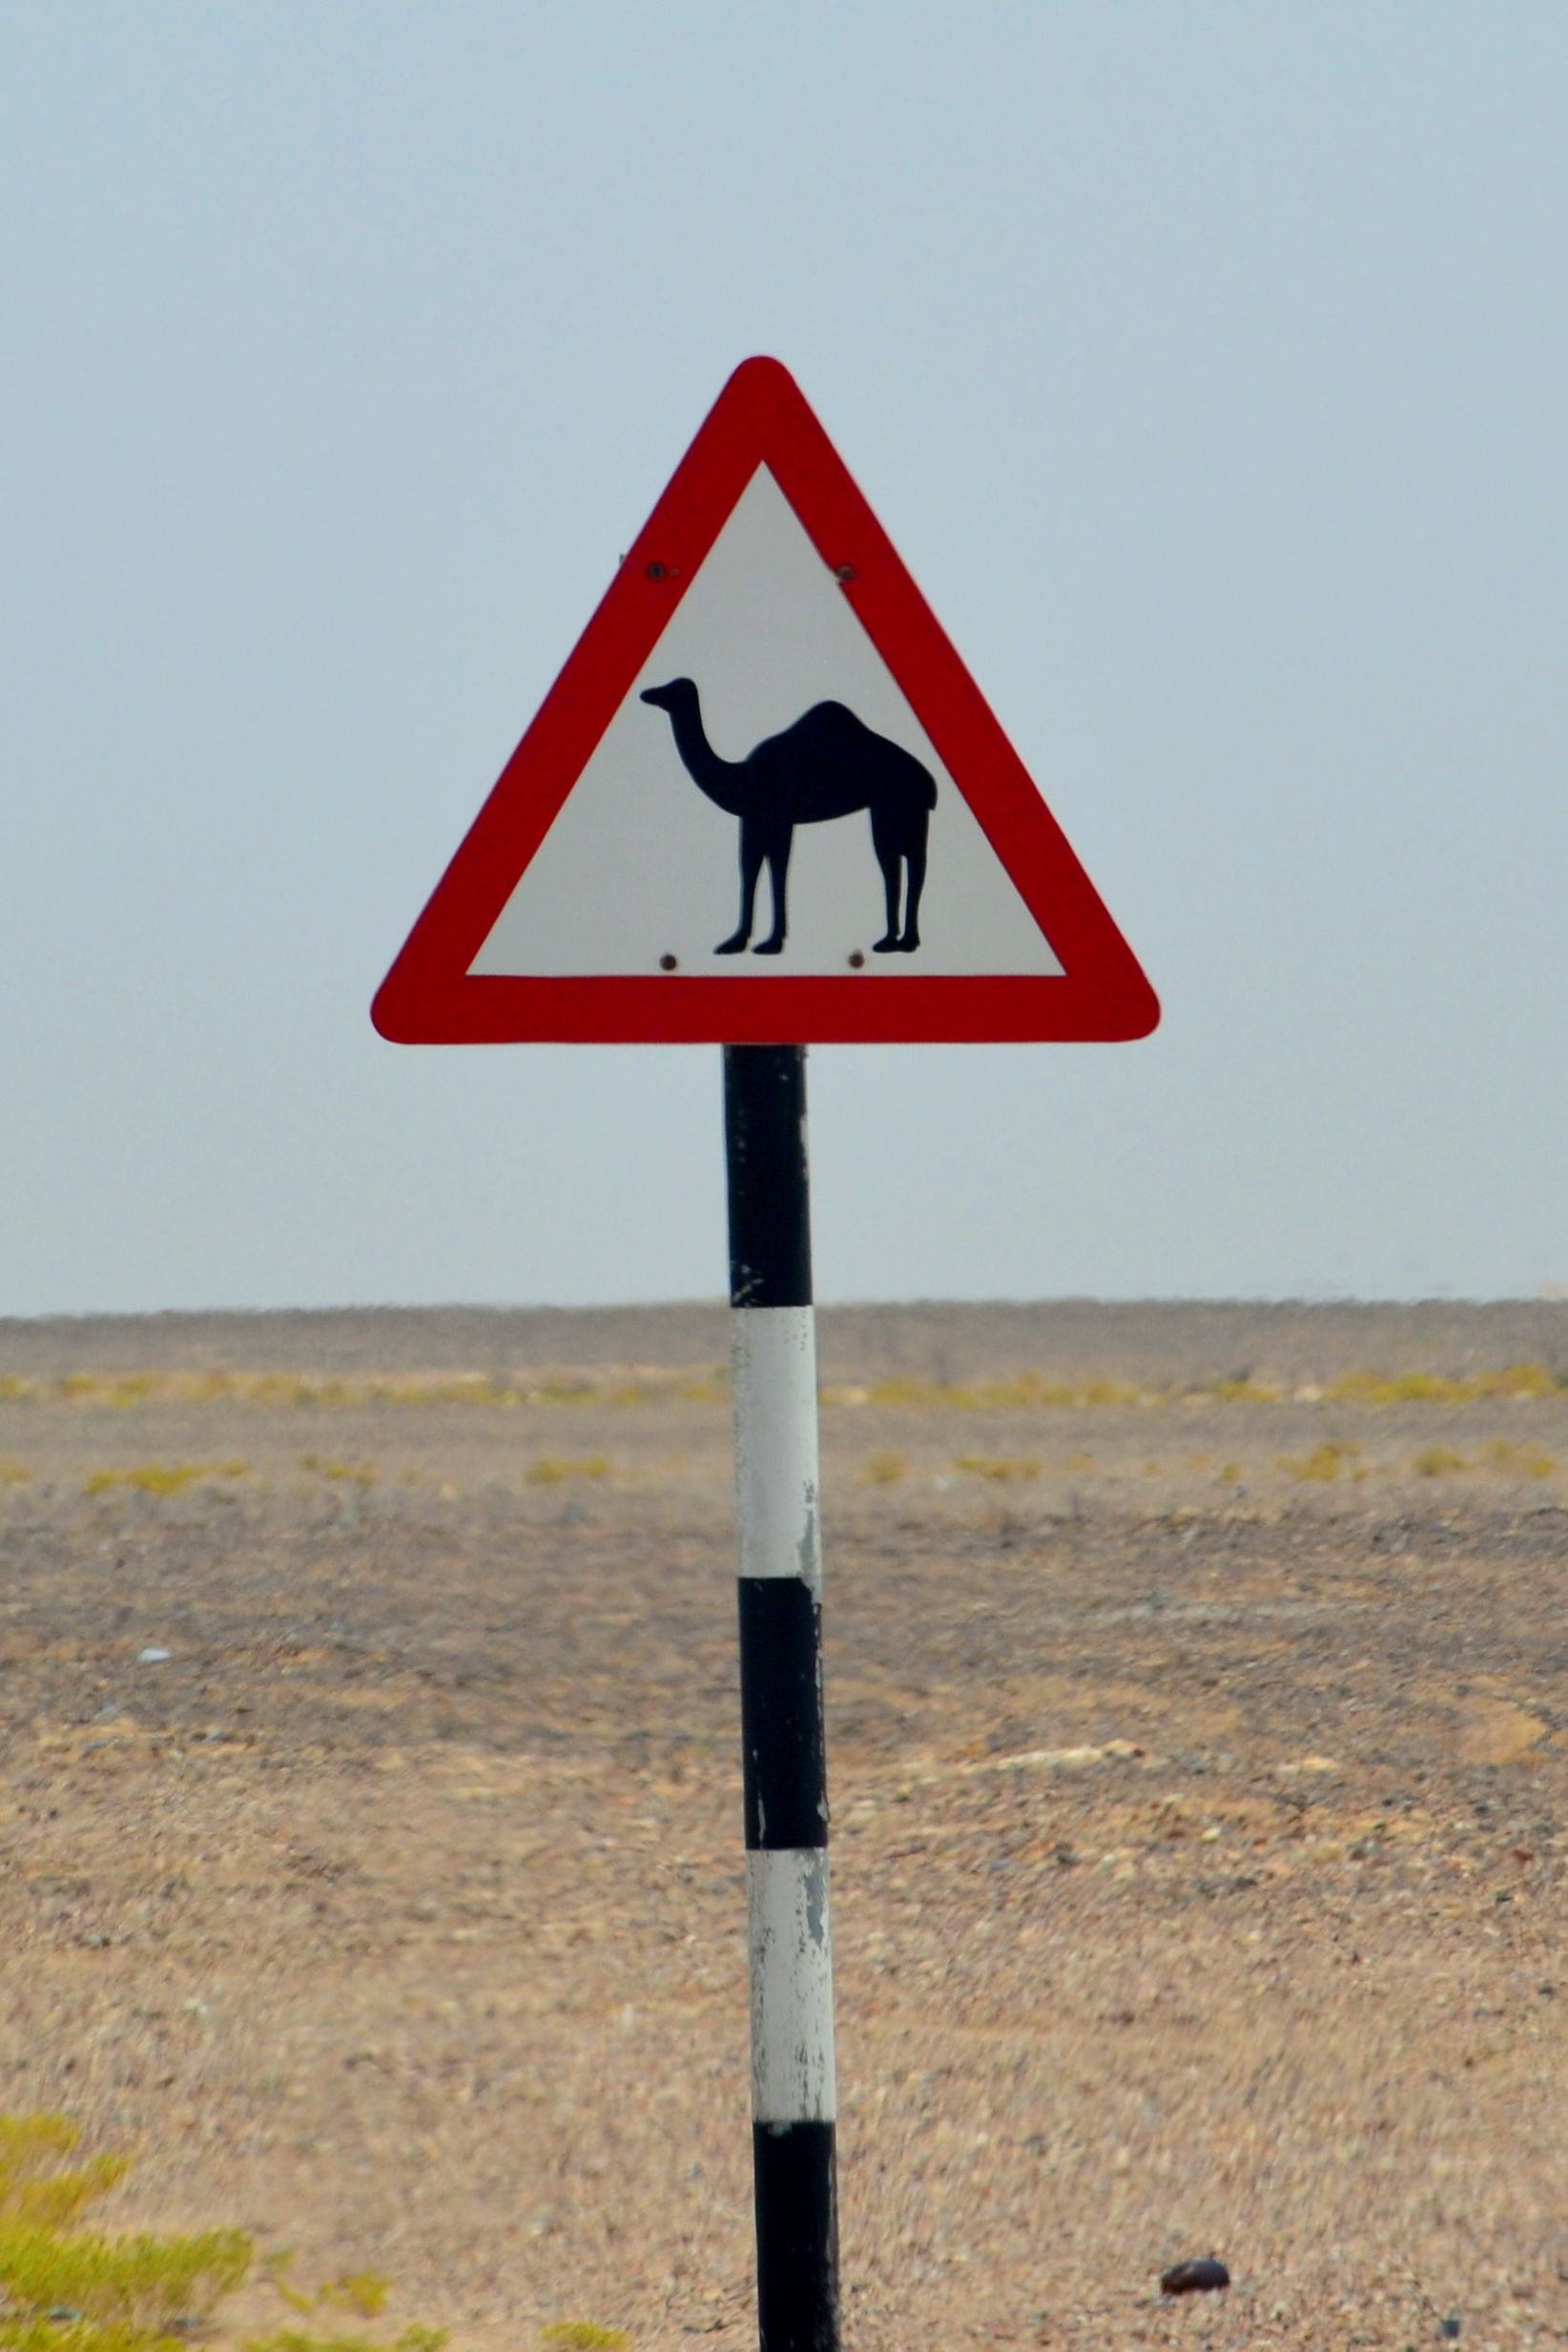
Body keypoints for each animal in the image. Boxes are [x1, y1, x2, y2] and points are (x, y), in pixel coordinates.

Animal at [639, 677, 936, 956]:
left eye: (672, 689)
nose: (646, 693)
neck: (742, 778)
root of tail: (929, 784)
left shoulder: (778, 819)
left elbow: (777, 871)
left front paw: (771, 942)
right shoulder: (754, 821)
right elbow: (750, 871)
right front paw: (737, 942)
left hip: (903, 807)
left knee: (912, 863)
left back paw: (907, 942)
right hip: (886, 811)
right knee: (894, 864)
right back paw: (890, 941)